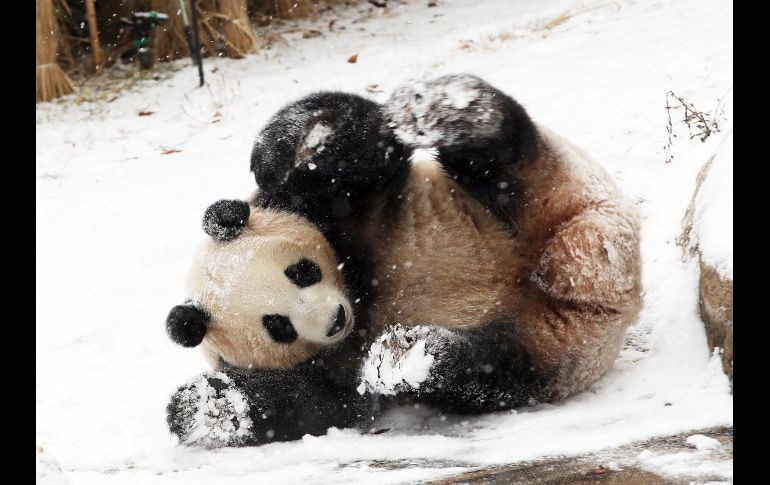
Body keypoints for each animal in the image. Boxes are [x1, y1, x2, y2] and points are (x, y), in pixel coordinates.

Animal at [165, 74, 642, 447]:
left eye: (301, 271)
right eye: (278, 326)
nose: (333, 321)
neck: (359, 287)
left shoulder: (340, 207)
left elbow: (363, 146)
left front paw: (302, 141)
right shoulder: (327, 362)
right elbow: (318, 402)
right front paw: (205, 407)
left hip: (542, 190)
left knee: (505, 152)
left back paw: (449, 110)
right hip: (554, 345)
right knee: (496, 371)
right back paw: (412, 356)